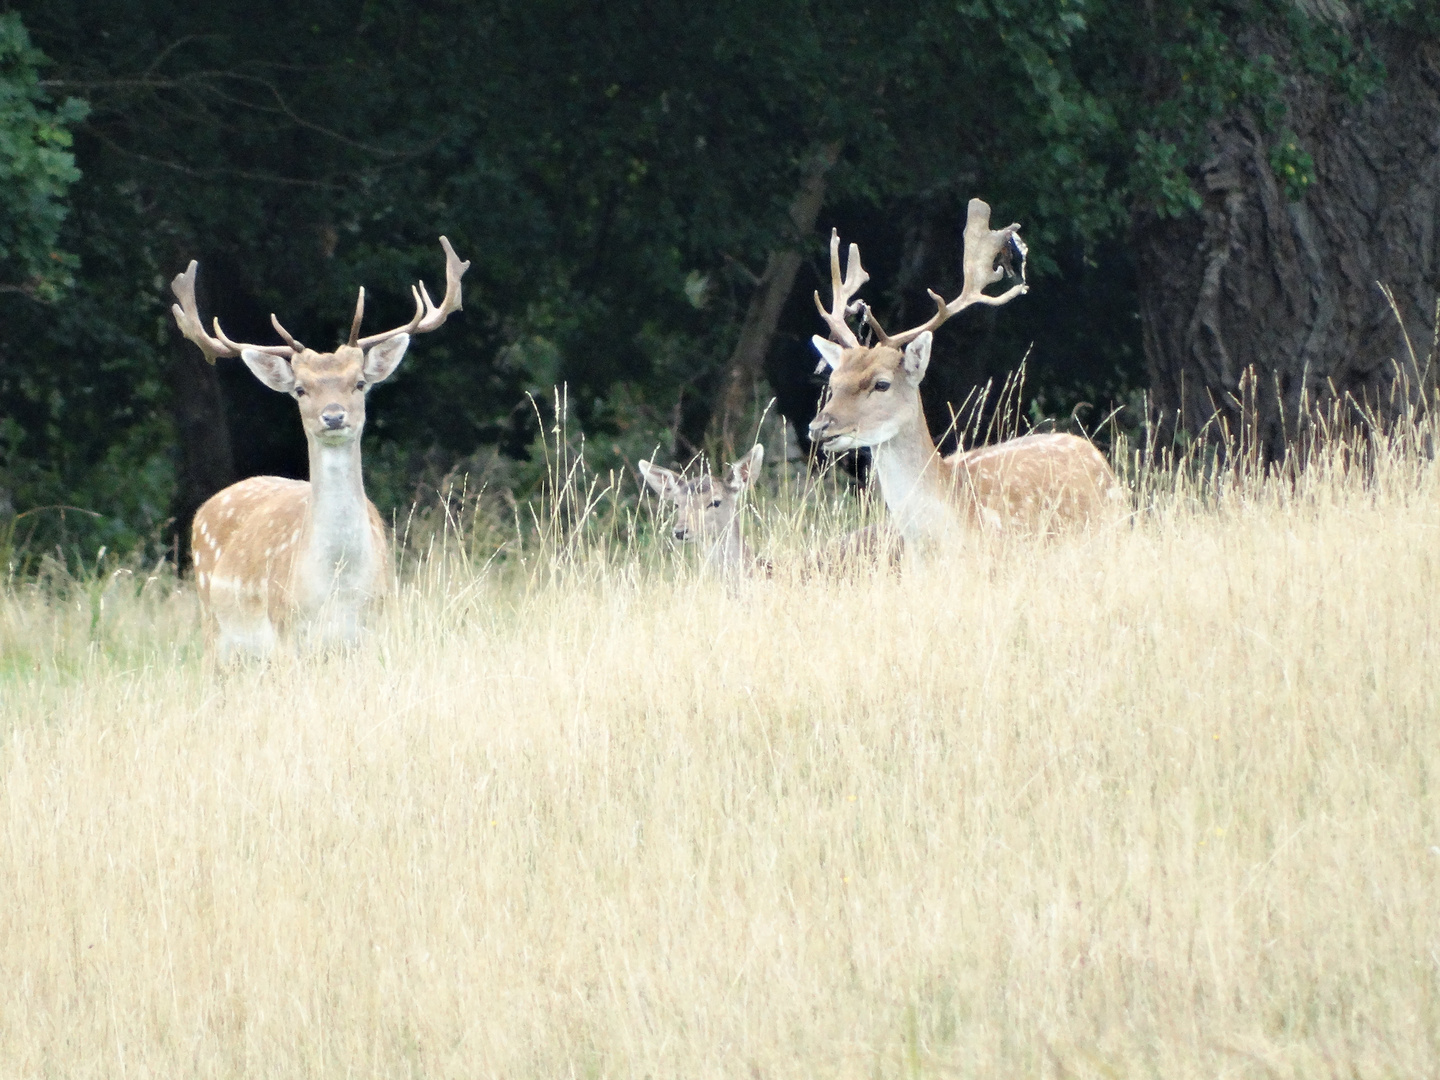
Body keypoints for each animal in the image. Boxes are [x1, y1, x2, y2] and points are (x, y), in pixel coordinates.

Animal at [171, 237, 469, 659]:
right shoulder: (285, 633)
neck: (338, 590)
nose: (333, 416)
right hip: (214, 628)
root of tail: (203, 510)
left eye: (359, 383)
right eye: (300, 389)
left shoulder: (377, 628)